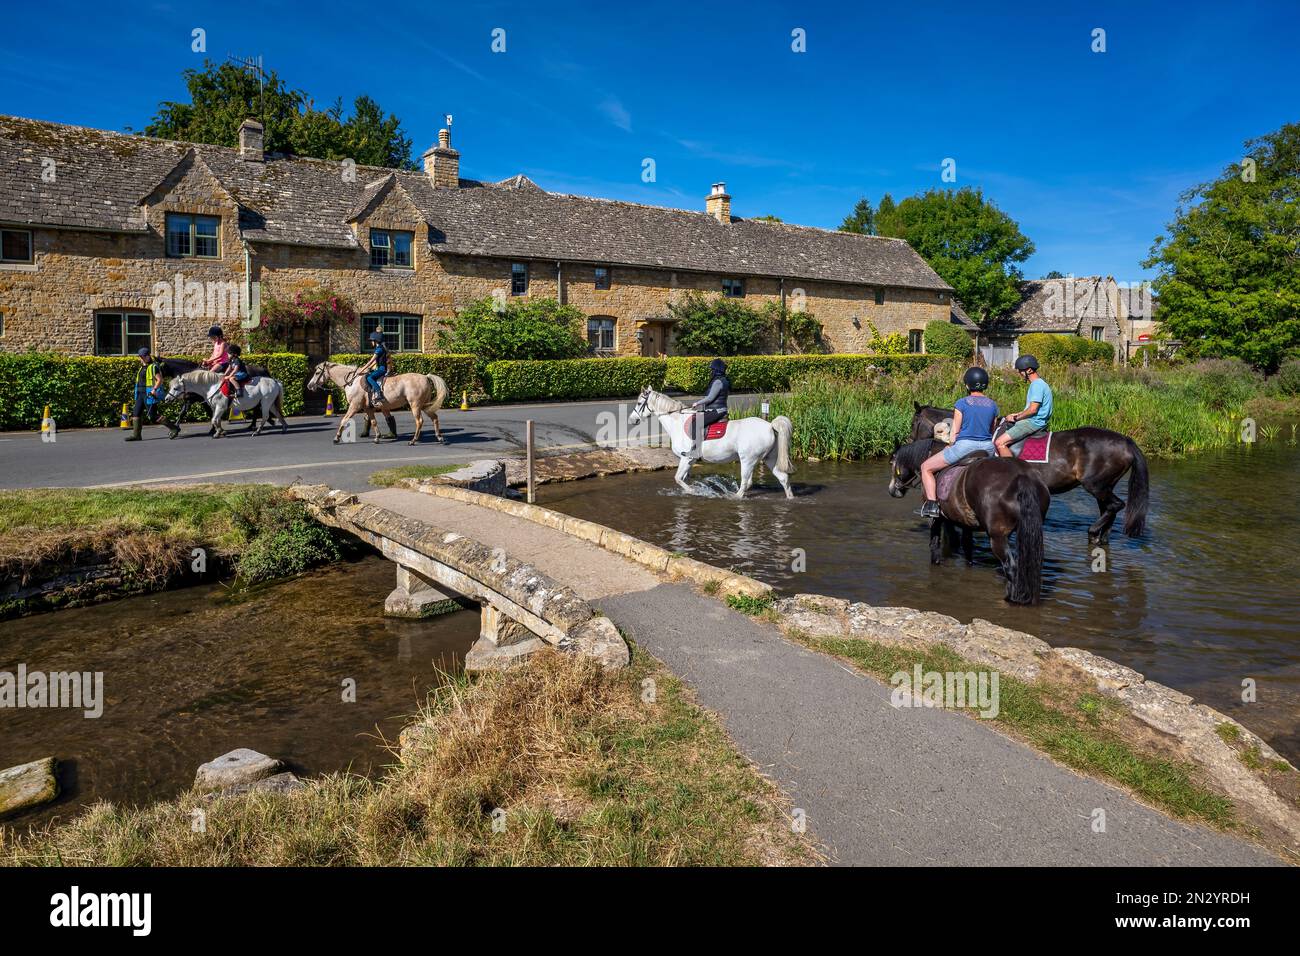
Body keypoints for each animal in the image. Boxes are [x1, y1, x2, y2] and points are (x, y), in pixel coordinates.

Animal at [306, 361, 449, 447]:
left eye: (317, 373)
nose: (309, 386)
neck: (352, 382)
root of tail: (425, 377)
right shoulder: (368, 408)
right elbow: (373, 422)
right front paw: (377, 437)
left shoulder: (354, 406)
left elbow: (344, 420)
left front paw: (336, 438)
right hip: (424, 405)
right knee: (434, 418)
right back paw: (439, 438)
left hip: (415, 405)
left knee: (419, 421)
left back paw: (413, 441)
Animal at [626, 385, 795, 502]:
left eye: (640, 402)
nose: (632, 420)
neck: (678, 423)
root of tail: (769, 425)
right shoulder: (691, 460)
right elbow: (683, 478)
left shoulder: (686, 458)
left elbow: (678, 478)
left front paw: (694, 491)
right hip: (769, 458)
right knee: (783, 479)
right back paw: (790, 498)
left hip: (748, 460)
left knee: (746, 483)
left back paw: (734, 497)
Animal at [889, 434, 1050, 600]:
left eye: (892, 463)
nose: (893, 490)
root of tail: (1022, 477)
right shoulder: (965, 523)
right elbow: (967, 548)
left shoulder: (935, 519)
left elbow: (935, 545)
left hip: (997, 536)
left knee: (1011, 567)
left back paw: (1011, 598)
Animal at [904, 403, 1149, 546]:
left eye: (914, 422)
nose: (909, 442)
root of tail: (1126, 441)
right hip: (1104, 486)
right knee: (1109, 509)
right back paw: (1099, 536)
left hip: (1096, 485)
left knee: (1115, 505)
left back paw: (1093, 531)